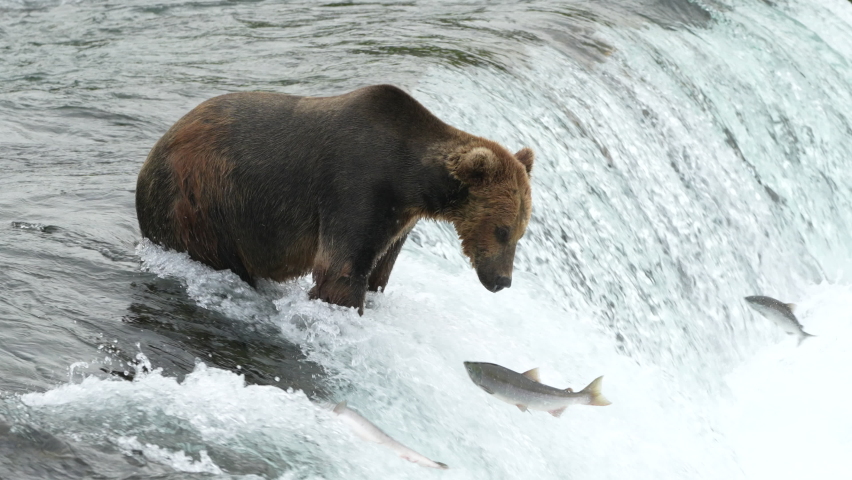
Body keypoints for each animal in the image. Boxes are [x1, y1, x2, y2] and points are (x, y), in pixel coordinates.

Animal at [136, 85, 534, 314]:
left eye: (520, 233)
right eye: (501, 230)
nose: (502, 280)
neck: (408, 177)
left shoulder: (399, 218)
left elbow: (380, 267)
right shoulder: (356, 186)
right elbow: (341, 269)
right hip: (203, 203)